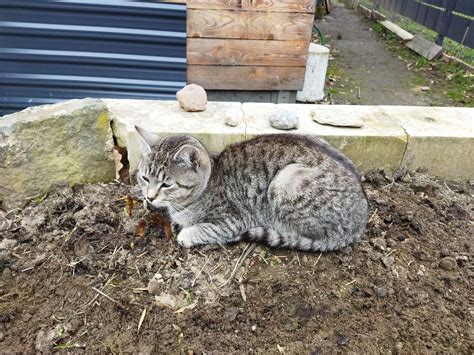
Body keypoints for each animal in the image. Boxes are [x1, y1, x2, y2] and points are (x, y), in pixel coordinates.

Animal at [135, 131, 368, 253]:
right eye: (145, 178)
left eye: (167, 185)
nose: (149, 196)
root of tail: (360, 223)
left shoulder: (234, 220)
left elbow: (204, 229)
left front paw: (186, 232)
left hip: (285, 180)